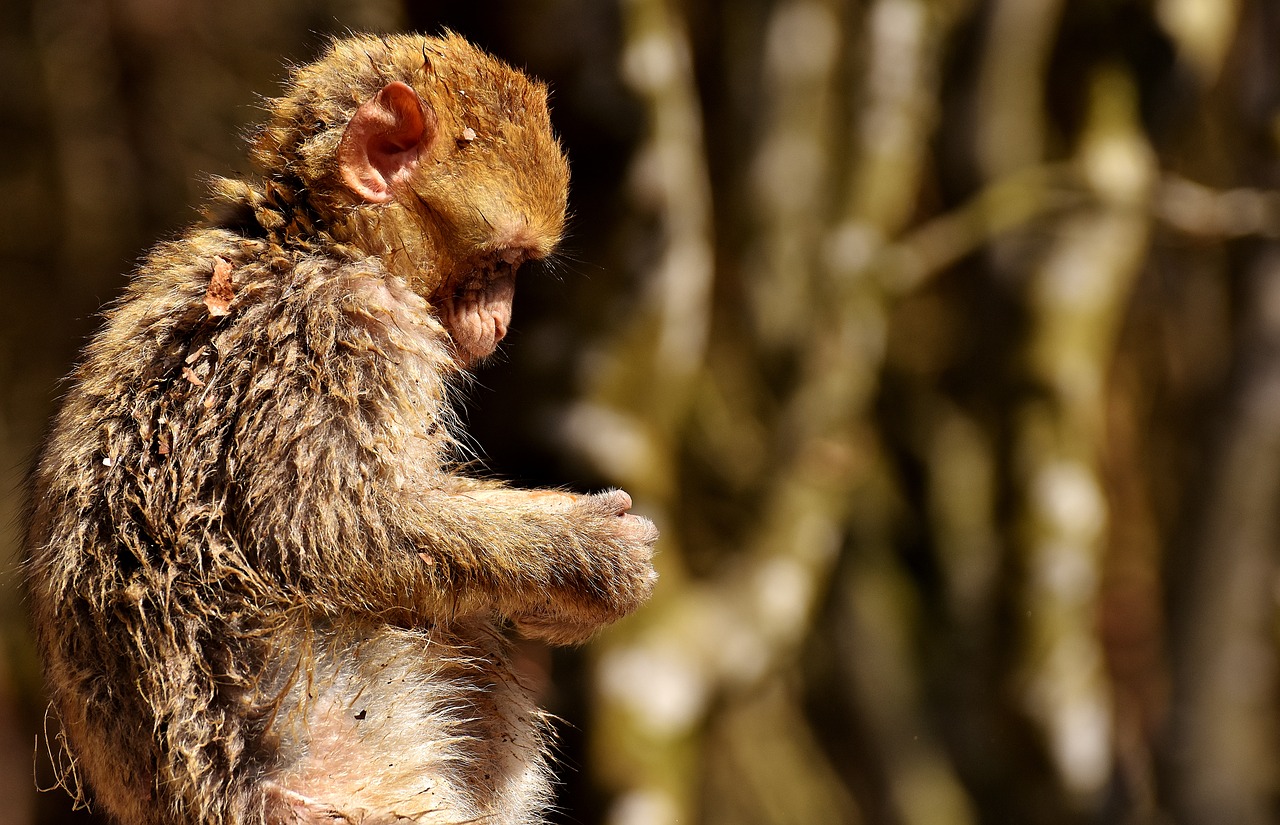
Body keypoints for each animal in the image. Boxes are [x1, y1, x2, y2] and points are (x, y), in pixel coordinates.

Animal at [24, 30, 655, 823]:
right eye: (497, 263)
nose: (502, 320)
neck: (307, 240)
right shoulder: (340, 327)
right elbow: (328, 530)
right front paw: (584, 556)